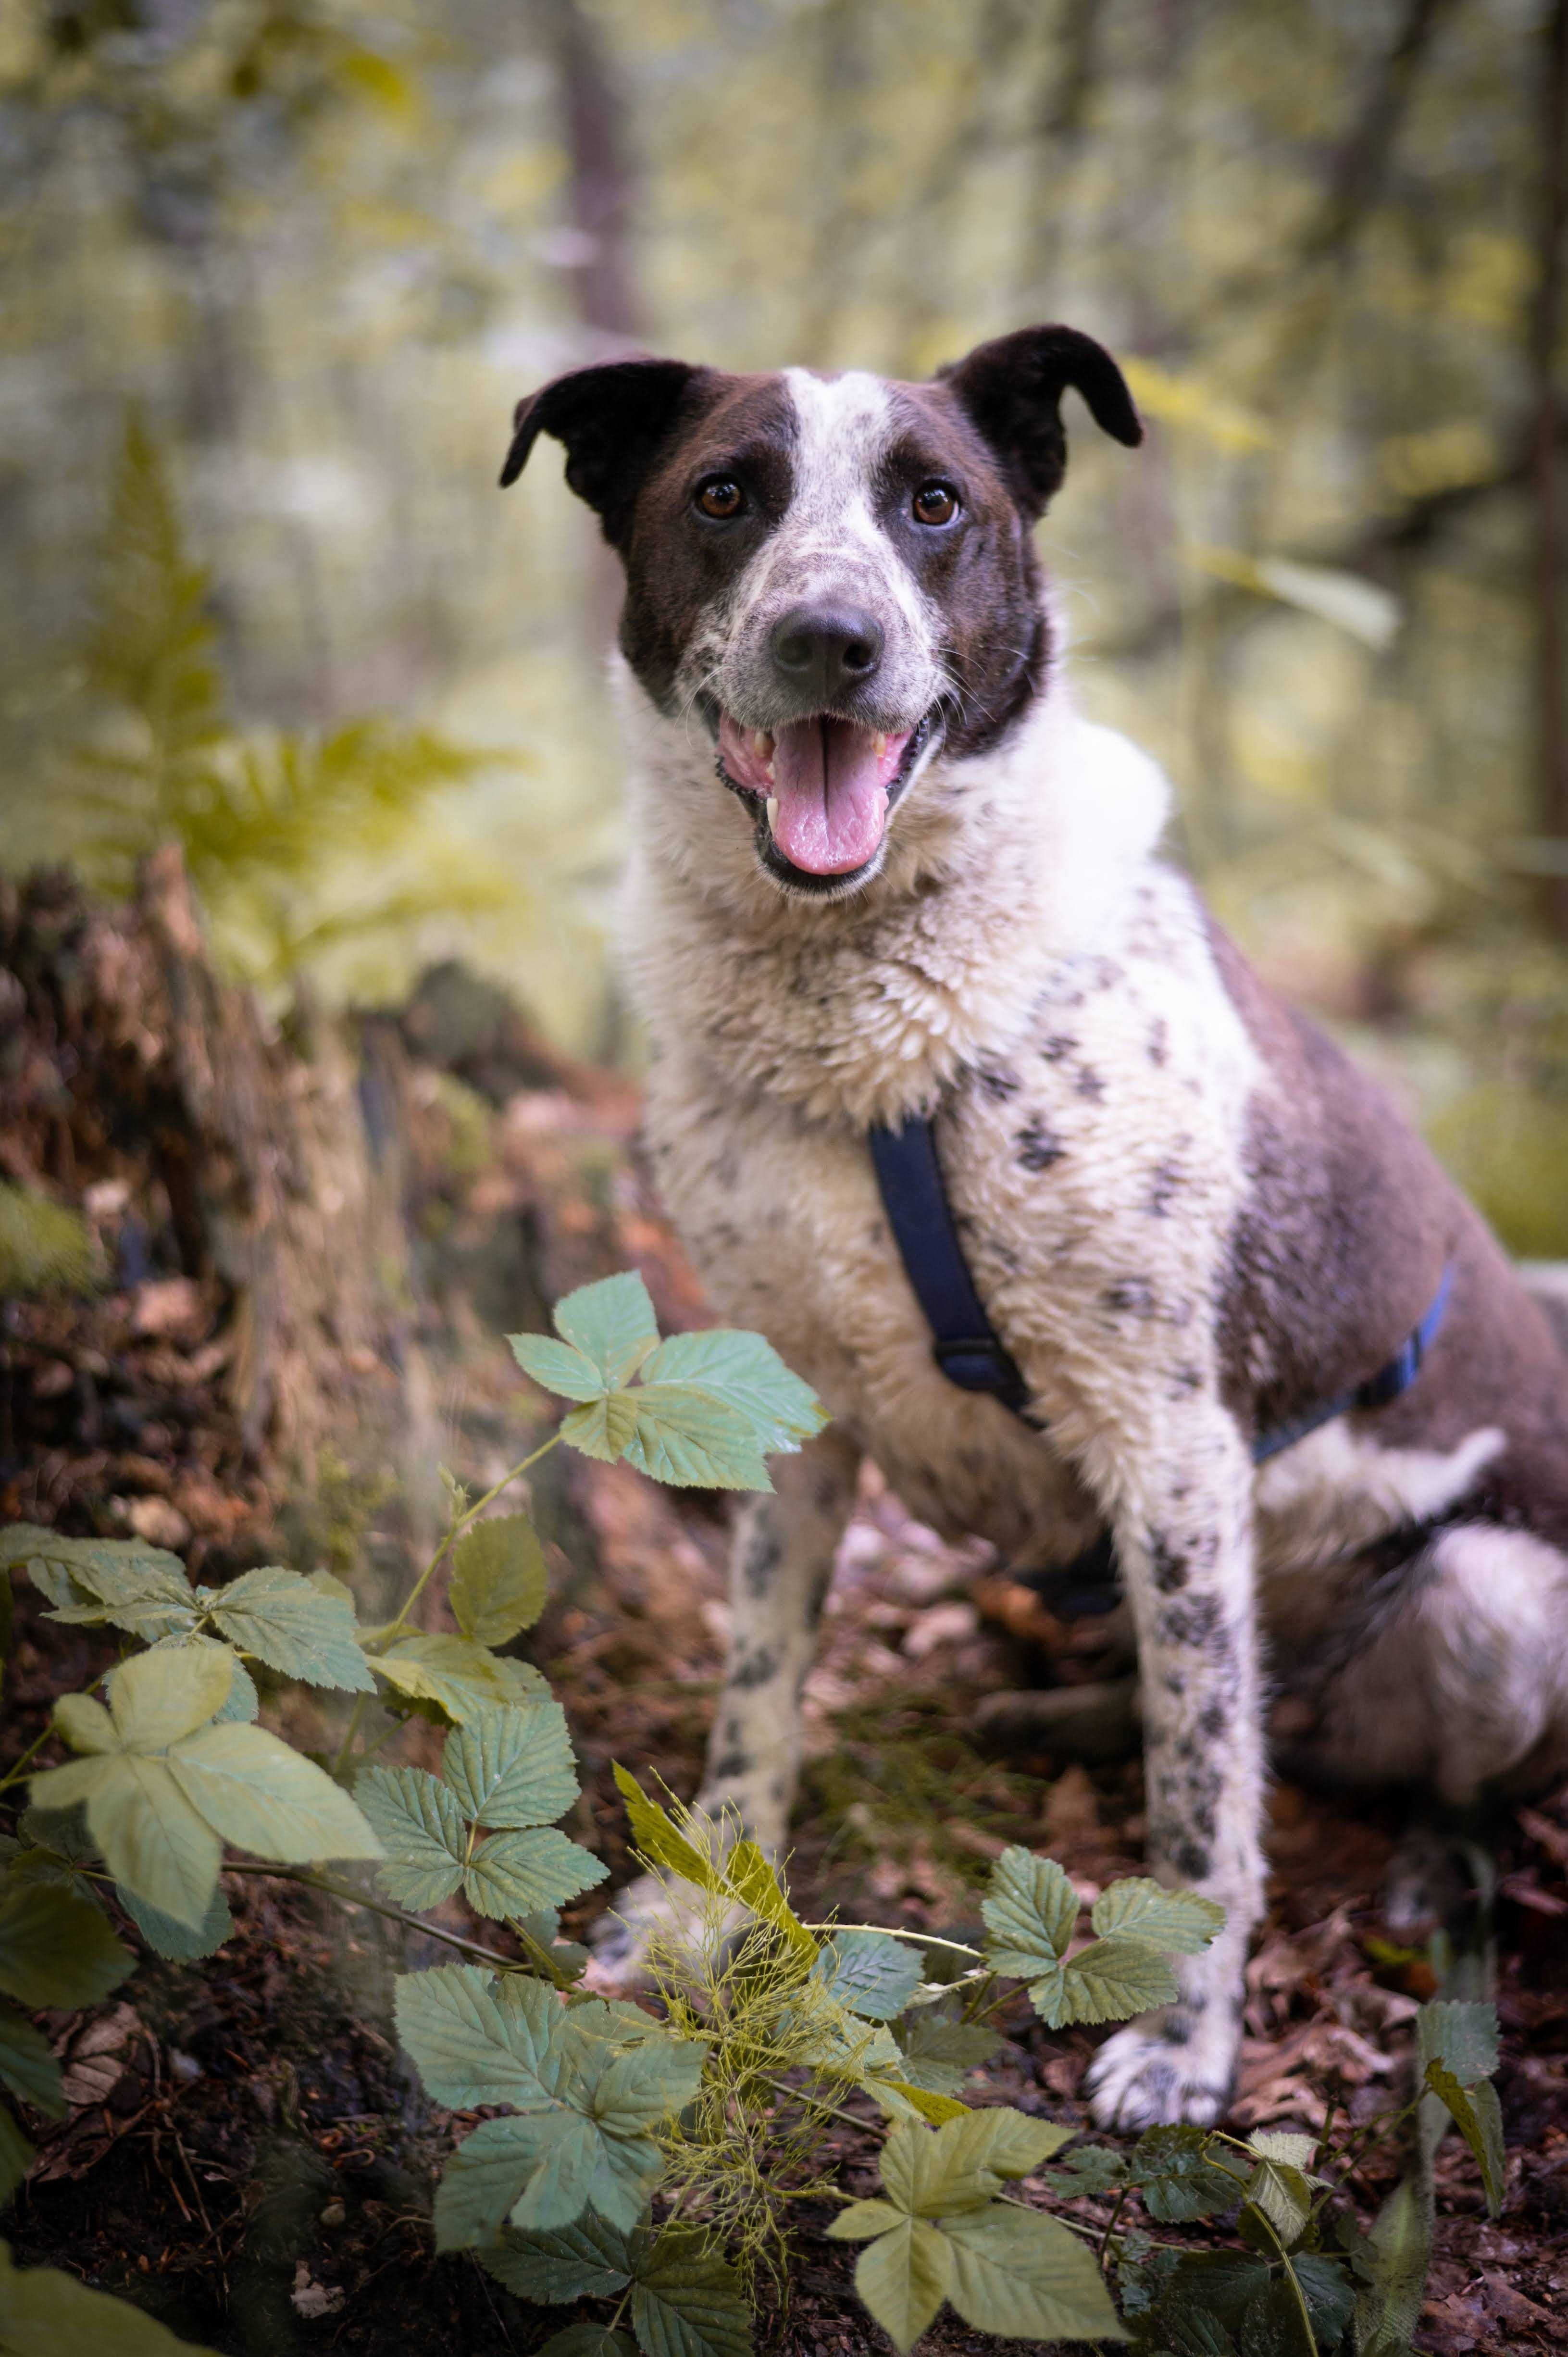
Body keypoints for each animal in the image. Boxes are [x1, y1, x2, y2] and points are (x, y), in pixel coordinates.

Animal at [498, 323, 1566, 2131]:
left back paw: (1427, 1869)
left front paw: (1188, 2038)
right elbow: (753, 1694)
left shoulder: (1175, 1443)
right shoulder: (787, 1411)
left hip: (1493, 1597)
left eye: (934, 503)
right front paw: (699, 1909)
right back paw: (1050, 1709)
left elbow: (1202, 1805)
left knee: (1345, 1754)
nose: (830, 639)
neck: (863, 1023)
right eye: (723, 495)